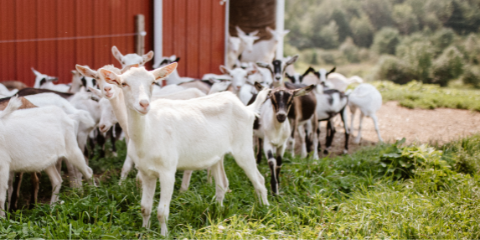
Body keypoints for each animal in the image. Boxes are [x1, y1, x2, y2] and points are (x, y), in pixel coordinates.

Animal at [100, 63, 270, 236]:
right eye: (123, 84)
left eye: (153, 82)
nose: (144, 104)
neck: (148, 133)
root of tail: (247, 108)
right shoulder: (145, 172)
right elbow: (144, 207)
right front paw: (144, 232)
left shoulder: (167, 171)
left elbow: (162, 212)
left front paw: (164, 235)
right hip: (217, 155)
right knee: (222, 183)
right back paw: (218, 214)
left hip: (243, 147)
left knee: (259, 180)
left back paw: (265, 210)